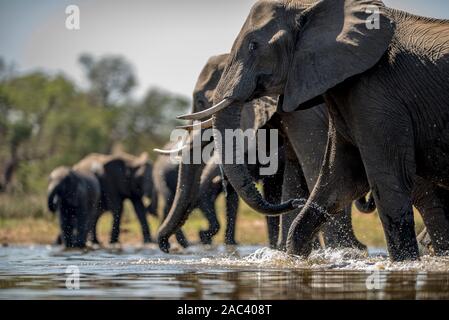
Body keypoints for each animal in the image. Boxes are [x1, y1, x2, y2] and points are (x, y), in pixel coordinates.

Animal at [180, 0, 448, 262]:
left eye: (254, 46)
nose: (295, 203)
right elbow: (338, 179)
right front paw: (296, 258)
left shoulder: (375, 94)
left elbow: (385, 177)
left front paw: (398, 262)